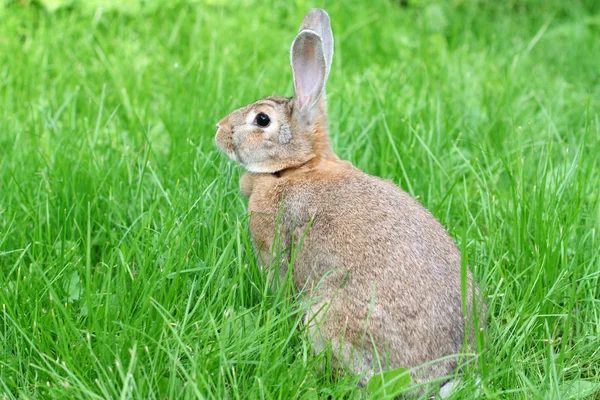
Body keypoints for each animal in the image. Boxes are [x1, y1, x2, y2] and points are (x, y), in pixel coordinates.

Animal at [213, 7, 486, 396]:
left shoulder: (275, 247)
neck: (295, 168)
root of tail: (440, 377)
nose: (219, 130)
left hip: (331, 317)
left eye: (261, 120)